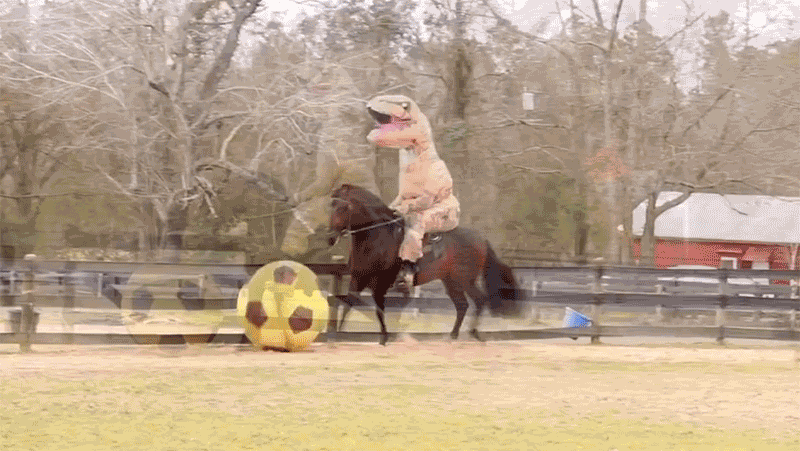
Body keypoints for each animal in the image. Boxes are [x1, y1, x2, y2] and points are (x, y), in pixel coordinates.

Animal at [328, 184, 523, 345]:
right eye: (331, 206)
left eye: (343, 207)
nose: (330, 237)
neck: (377, 237)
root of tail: (481, 239)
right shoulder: (358, 279)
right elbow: (348, 303)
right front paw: (338, 335)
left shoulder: (381, 283)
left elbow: (379, 309)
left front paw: (385, 337)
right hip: (451, 282)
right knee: (462, 306)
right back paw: (453, 335)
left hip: (464, 280)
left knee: (479, 300)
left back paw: (472, 332)